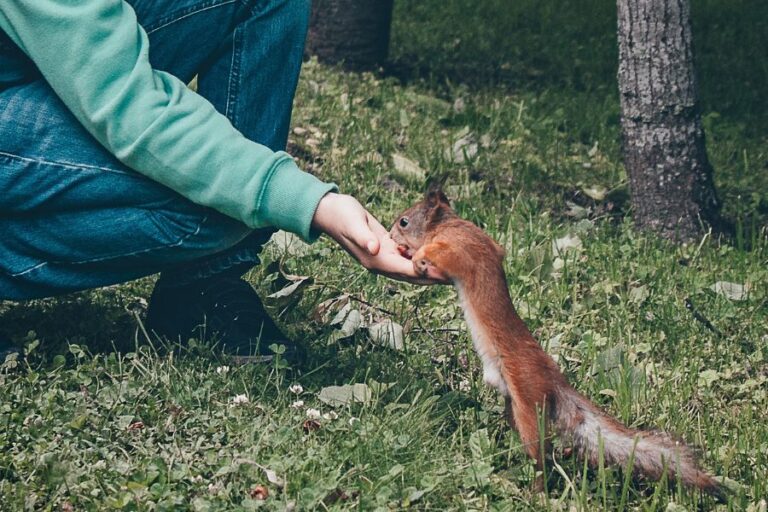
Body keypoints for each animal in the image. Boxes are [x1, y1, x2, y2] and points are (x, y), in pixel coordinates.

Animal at [390, 185, 726, 500]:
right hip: (513, 407)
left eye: (404, 221)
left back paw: (536, 490)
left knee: (541, 455)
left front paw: (418, 257)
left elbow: (445, 256)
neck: (450, 225)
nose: (392, 235)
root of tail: (554, 380)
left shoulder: (461, 249)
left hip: (527, 401)